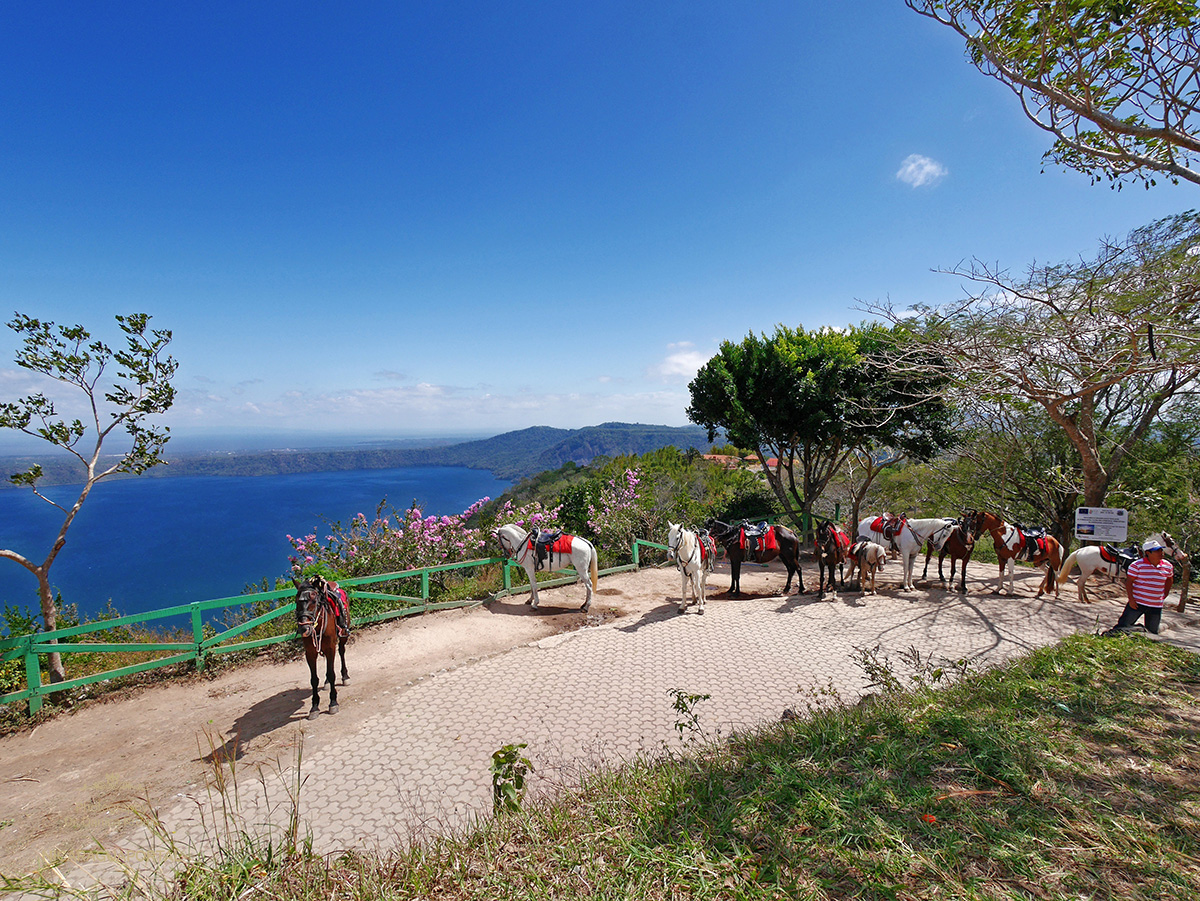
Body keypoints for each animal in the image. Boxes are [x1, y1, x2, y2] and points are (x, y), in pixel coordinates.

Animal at [292, 580, 350, 724]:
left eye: (314, 601)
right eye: (296, 601)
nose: (304, 629)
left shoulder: (330, 648)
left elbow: (331, 674)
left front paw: (333, 702)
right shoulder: (310, 653)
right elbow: (314, 679)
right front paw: (314, 707)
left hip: (343, 636)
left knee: (342, 651)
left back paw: (345, 676)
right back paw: (327, 683)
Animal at [1056, 532, 1185, 602]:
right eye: (1172, 543)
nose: (1182, 555)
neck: (1142, 553)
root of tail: (1079, 551)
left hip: (1087, 571)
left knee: (1081, 583)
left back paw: (1084, 599)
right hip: (1087, 570)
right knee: (1080, 582)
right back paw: (1084, 599)